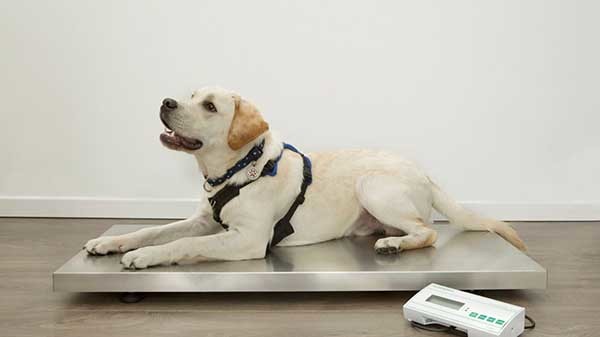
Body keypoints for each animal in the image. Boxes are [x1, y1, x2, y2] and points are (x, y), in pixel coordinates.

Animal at [84, 86, 524, 268]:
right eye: (189, 96)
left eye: (209, 106)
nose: (166, 102)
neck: (237, 171)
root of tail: (425, 172)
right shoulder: (202, 220)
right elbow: (154, 231)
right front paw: (113, 242)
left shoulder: (248, 239)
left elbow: (180, 245)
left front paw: (144, 257)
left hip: (372, 186)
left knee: (428, 232)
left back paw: (394, 245)